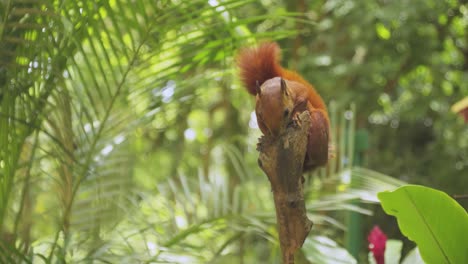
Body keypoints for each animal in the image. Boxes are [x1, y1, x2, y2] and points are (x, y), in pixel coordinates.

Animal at [238, 41, 330, 171]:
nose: (276, 135)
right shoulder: (257, 111)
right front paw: (266, 138)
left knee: (314, 159)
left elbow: (302, 100)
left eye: (286, 112)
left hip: (318, 128)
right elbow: (262, 127)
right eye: (262, 116)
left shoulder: (299, 90)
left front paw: (296, 116)